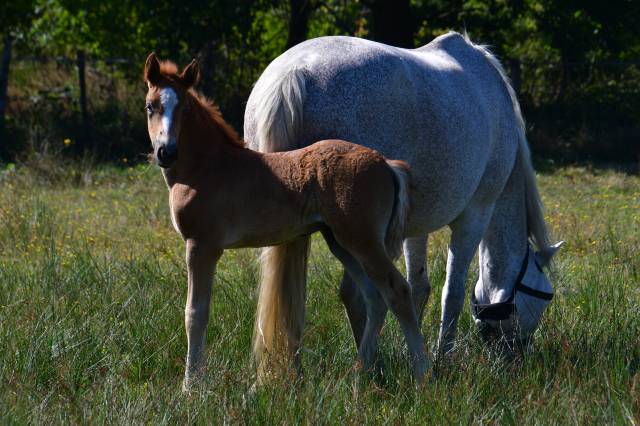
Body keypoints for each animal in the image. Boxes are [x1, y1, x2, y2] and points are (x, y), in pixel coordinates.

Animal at [142, 53, 428, 390]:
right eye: (150, 106)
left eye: (184, 108)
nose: (166, 152)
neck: (206, 167)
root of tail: (386, 163)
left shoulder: (202, 246)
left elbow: (195, 313)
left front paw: (191, 386)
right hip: (341, 242)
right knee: (374, 297)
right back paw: (360, 374)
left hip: (362, 240)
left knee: (397, 290)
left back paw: (424, 376)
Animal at [242, 30, 564, 376]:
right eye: (545, 296)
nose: (515, 360)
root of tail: (295, 72)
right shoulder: (475, 216)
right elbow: (452, 293)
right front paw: (441, 357)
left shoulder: (414, 227)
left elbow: (417, 287)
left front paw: (414, 347)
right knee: (357, 295)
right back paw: (373, 367)